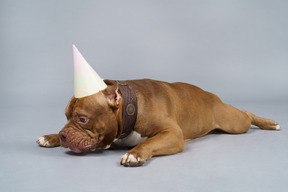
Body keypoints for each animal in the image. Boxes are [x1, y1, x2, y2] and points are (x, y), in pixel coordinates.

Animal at [36, 78, 282, 166]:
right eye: (65, 117)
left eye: (83, 119)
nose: (64, 135)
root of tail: (213, 96)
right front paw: (50, 136)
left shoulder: (172, 134)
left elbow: (148, 142)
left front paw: (135, 154)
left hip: (234, 123)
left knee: (246, 113)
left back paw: (269, 123)